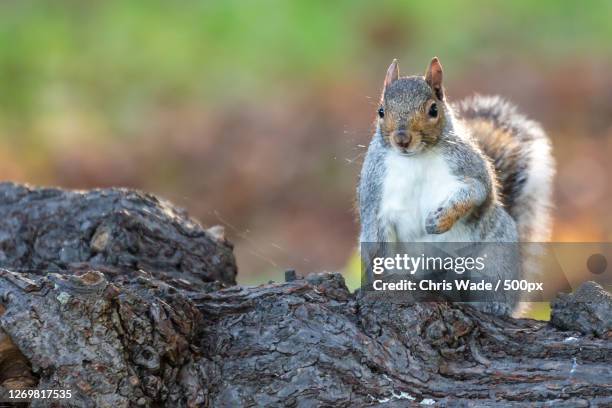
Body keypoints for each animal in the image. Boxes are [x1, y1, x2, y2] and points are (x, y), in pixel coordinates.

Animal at [358, 57, 556, 314]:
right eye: (381, 111)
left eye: (433, 110)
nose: (402, 139)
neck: (415, 159)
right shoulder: (375, 194)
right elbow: (376, 238)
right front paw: (381, 282)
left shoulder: (468, 168)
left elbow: (476, 192)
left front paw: (442, 219)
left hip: (495, 255)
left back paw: (495, 305)